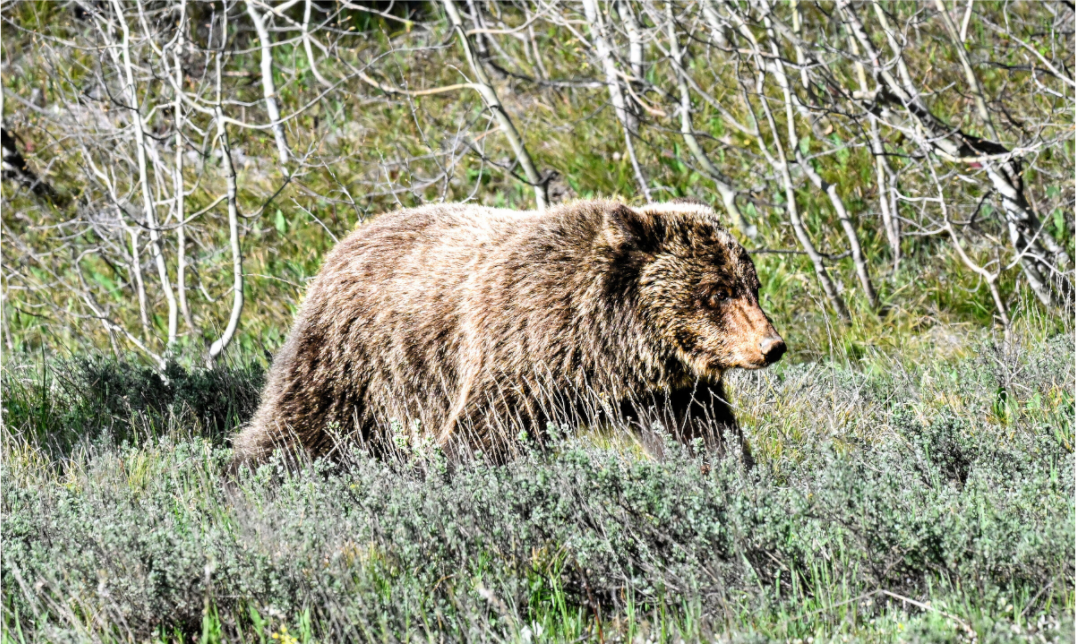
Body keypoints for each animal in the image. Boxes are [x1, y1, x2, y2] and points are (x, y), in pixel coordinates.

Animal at [233, 198, 785, 467]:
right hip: (353, 357)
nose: (771, 346)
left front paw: (730, 472)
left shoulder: (666, 390)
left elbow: (705, 434)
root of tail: (343, 243)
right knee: (297, 427)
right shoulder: (516, 351)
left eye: (752, 286)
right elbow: (482, 437)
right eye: (717, 292)